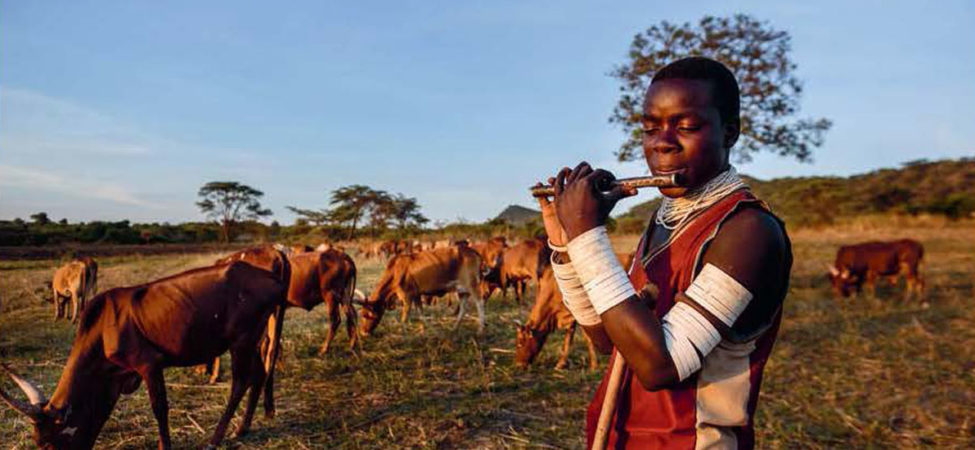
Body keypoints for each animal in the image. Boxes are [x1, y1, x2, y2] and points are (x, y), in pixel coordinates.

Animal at [0, 262, 286, 448]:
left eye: (49, 442)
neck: (101, 330)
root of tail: (272, 278)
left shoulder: (148, 364)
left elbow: (159, 408)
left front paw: (164, 446)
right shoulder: (115, 379)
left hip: (242, 340)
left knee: (240, 382)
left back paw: (216, 439)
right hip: (254, 338)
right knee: (259, 374)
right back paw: (242, 427)